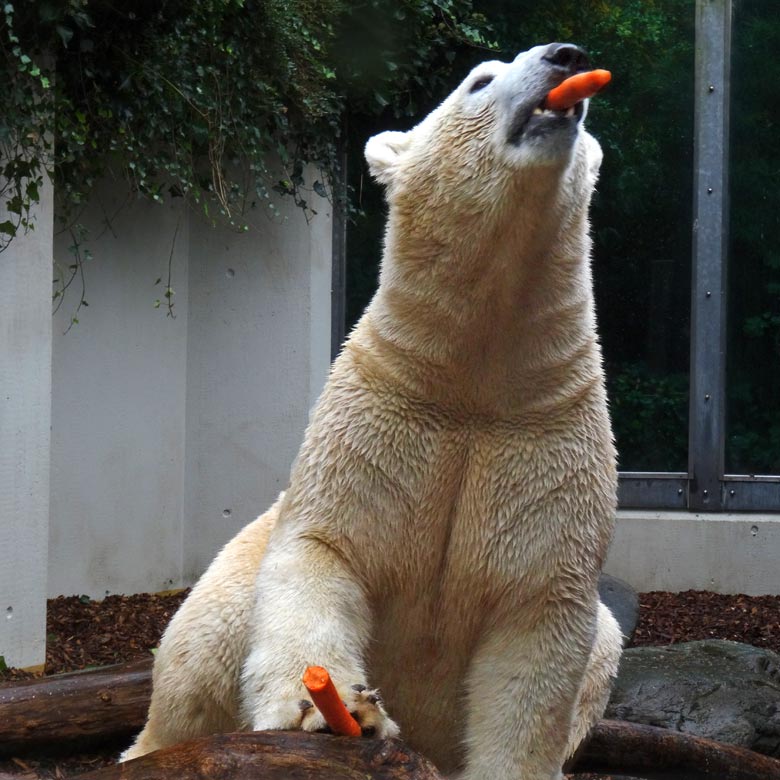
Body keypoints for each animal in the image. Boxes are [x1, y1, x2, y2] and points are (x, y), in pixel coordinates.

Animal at [122, 44, 620, 780]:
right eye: (479, 80)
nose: (567, 57)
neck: (476, 377)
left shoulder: (544, 441)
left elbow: (538, 623)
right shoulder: (380, 418)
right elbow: (324, 551)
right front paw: (333, 709)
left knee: (605, 645)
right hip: (231, 570)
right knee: (202, 644)